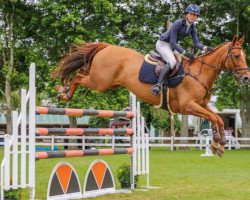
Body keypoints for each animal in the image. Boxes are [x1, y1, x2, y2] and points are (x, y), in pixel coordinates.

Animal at [51, 36, 249, 158]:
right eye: (236, 55)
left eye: (244, 55)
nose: (246, 78)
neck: (199, 74)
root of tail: (107, 46)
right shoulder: (187, 106)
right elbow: (213, 118)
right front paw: (217, 144)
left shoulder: (202, 105)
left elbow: (218, 118)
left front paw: (220, 145)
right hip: (100, 81)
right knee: (78, 76)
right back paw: (65, 92)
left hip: (105, 81)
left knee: (81, 72)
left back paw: (64, 89)